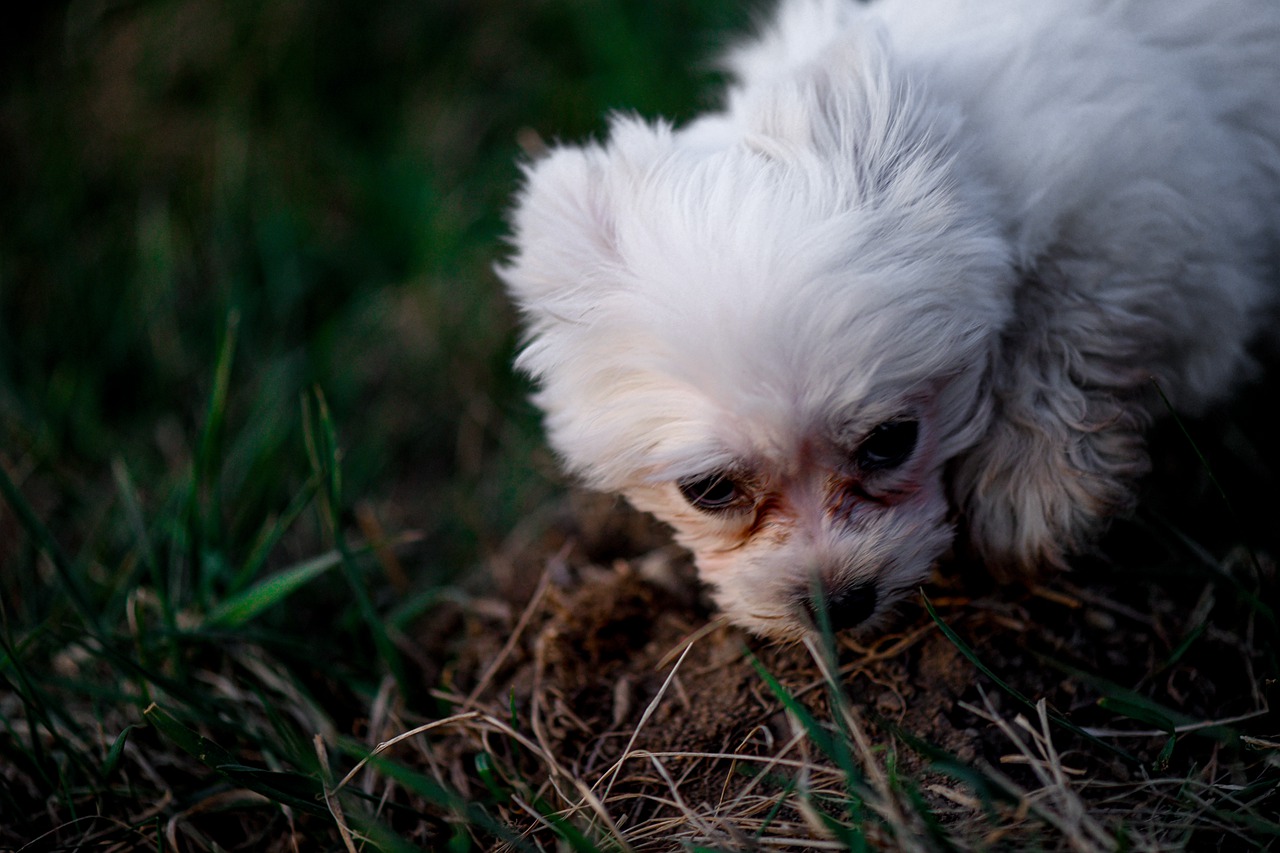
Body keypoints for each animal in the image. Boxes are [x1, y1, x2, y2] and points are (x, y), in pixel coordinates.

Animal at [499, 0, 1280, 637]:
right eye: (710, 490)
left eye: (891, 440)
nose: (838, 604)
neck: (955, 117)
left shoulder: (1148, 205)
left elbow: (1063, 313)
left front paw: (1033, 479)